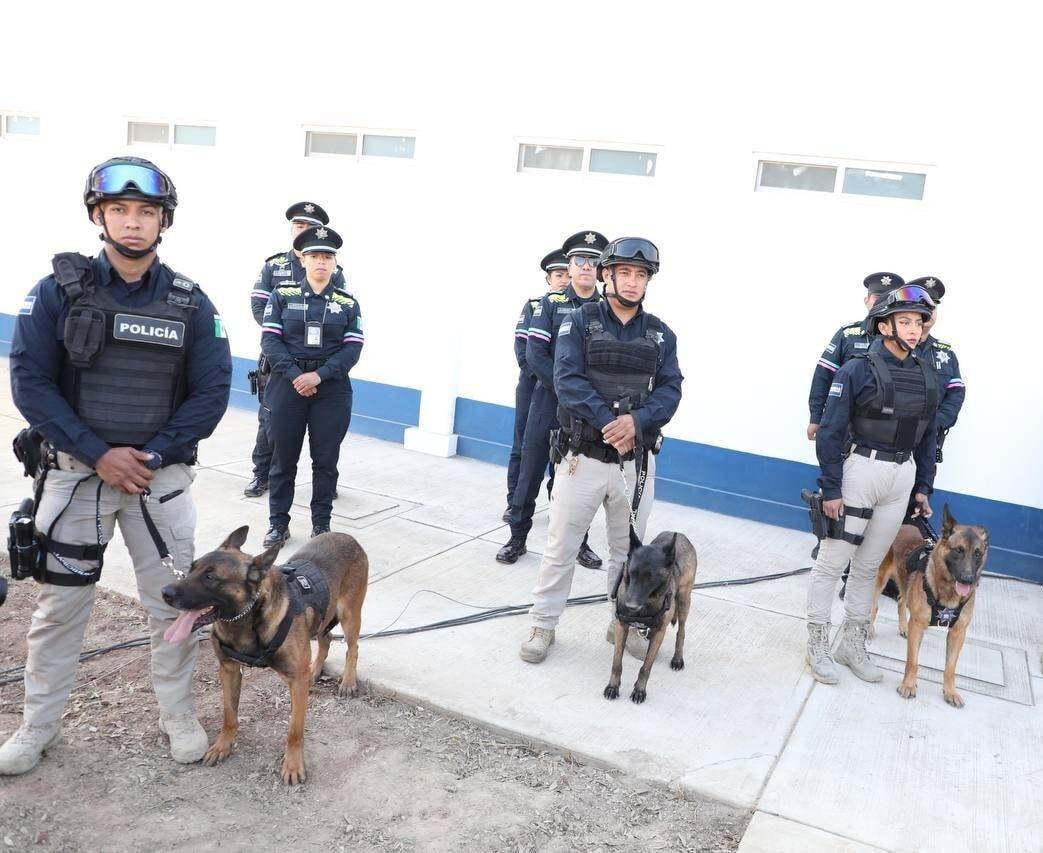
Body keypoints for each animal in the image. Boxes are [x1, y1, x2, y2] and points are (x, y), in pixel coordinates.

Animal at [162, 521, 371, 780]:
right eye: (191, 568)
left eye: (210, 577)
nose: (165, 592)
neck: (246, 618)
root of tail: (348, 537)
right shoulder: (228, 670)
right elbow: (229, 715)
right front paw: (222, 746)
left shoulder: (295, 681)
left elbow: (294, 730)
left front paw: (293, 764)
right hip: (324, 618)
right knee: (326, 638)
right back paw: (314, 670)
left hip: (349, 615)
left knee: (353, 647)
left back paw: (348, 682)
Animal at [867, 504, 988, 704]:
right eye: (958, 550)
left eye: (977, 553)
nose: (968, 579)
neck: (948, 592)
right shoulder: (918, 626)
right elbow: (913, 661)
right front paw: (908, 685)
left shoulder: (958, 633)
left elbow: (950, 668)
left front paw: (950, 691)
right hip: (878, 580)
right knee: (874, 606)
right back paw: (869, 628)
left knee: (901, 601)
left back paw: (903, 627)